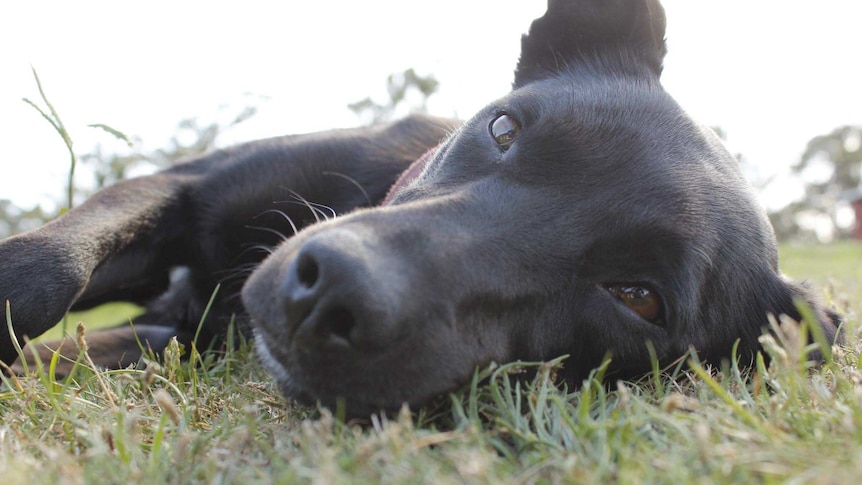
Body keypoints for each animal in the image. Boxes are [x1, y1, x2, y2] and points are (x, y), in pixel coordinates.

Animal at [0, 0, 840, 416]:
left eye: (639, 296)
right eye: (503, 127)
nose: (330, 293)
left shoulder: (180, 334)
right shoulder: (186, 187)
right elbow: (49, 265)